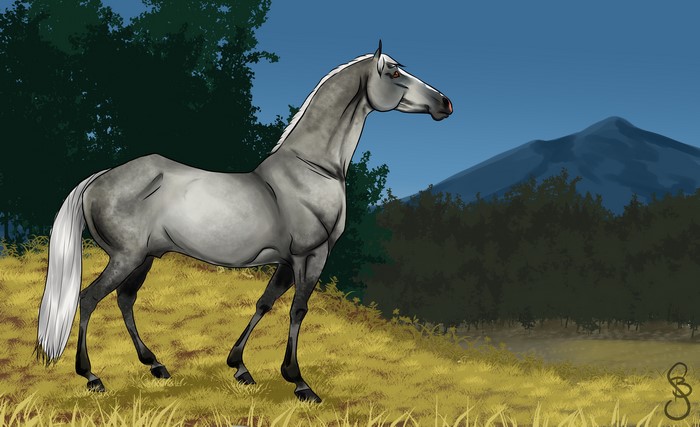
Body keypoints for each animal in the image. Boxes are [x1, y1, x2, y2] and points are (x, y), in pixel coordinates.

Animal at [36, 41, 452, 403]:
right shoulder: (311, 256)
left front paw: (240, 367)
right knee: (89, 299)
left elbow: (264, 303)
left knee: (124, 300)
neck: (312, 170)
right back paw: (92, 376)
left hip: (144, 258)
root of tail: (100, 177)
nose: (445, 103)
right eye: (394, 71)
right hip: (126, 257)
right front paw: (299, 383)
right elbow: (297, 310)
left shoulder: (286, 261)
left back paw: (155, 364)